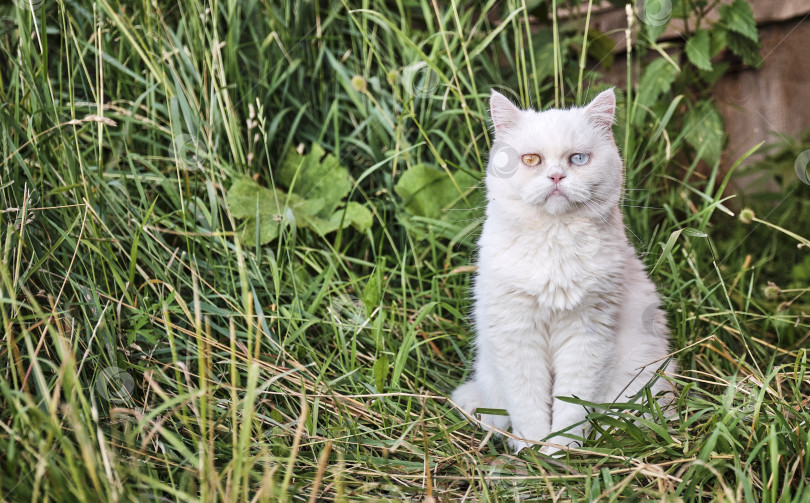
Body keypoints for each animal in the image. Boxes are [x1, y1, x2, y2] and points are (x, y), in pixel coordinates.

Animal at [452, 88, 672, 454]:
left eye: (578, 159)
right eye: (531, 160)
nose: (556, 177)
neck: (554, 239)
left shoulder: (587, 335)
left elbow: (571, 407)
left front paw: (558, 452)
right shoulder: (517, 335)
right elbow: (529, 406)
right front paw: (533, 451)